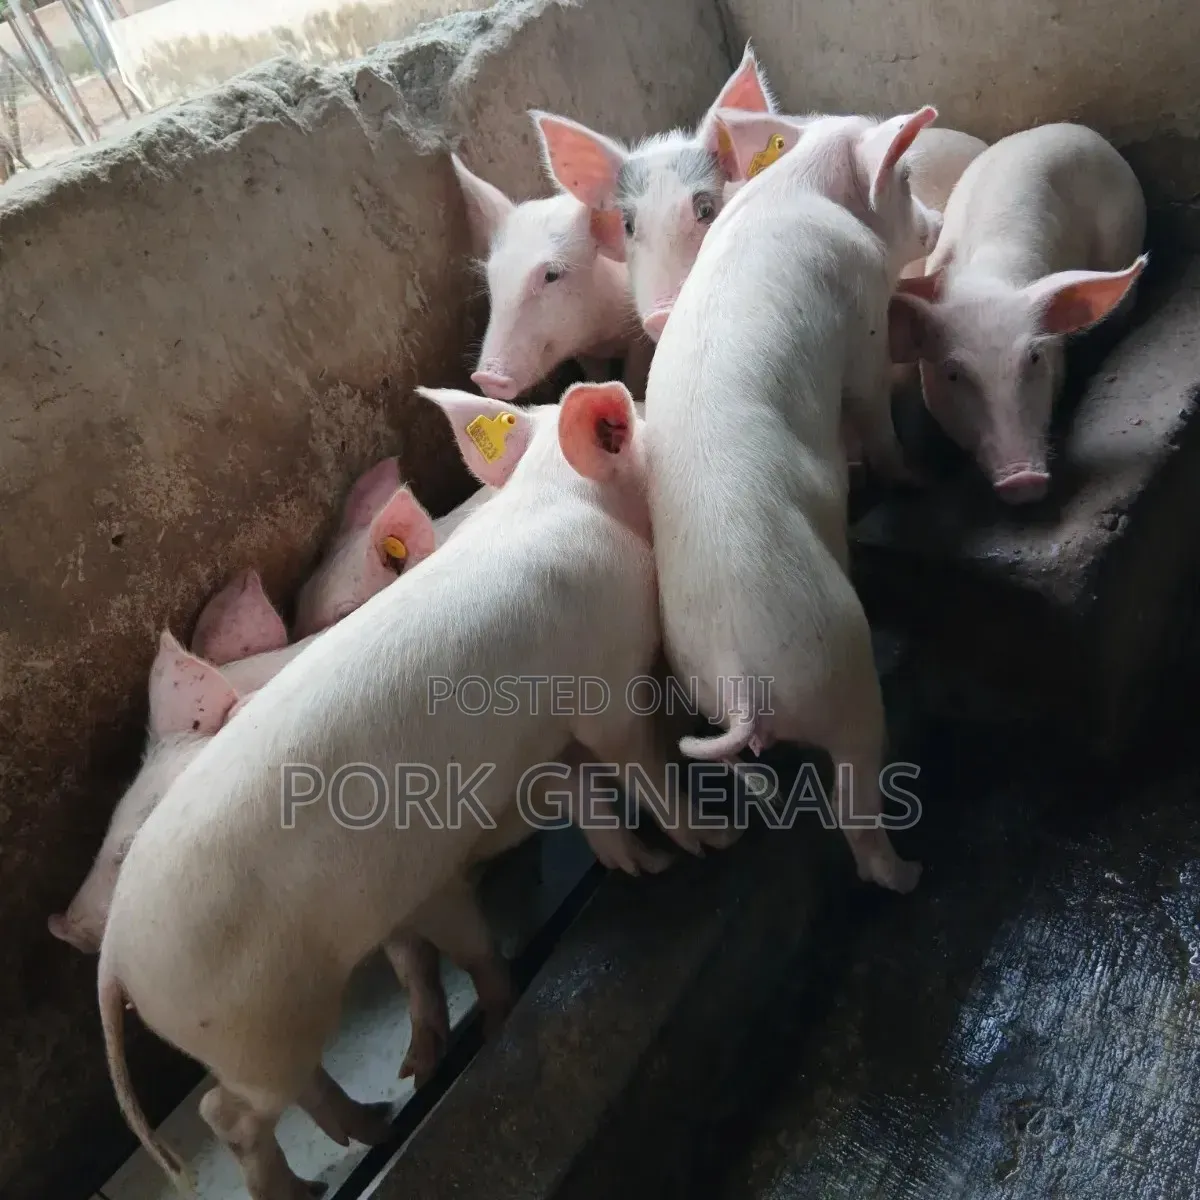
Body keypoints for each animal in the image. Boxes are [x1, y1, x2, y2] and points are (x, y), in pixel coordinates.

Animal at [451, 153, 653, 401]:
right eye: (492, 276)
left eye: (551, 275)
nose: (486, 378)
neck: (601, 334)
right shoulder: (585, 351)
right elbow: (596, 376)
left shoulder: (640, 340)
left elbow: (636, 378)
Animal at [644, 105, 932, 896]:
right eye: (904, 177)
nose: (933, 224)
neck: (799, 187)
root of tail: (742, 672)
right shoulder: (863, 318)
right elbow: (873, 410)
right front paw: (911, 476)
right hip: (839, 665)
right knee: (853, 801)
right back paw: (911, 873)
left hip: (703, 690)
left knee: (751, 770)